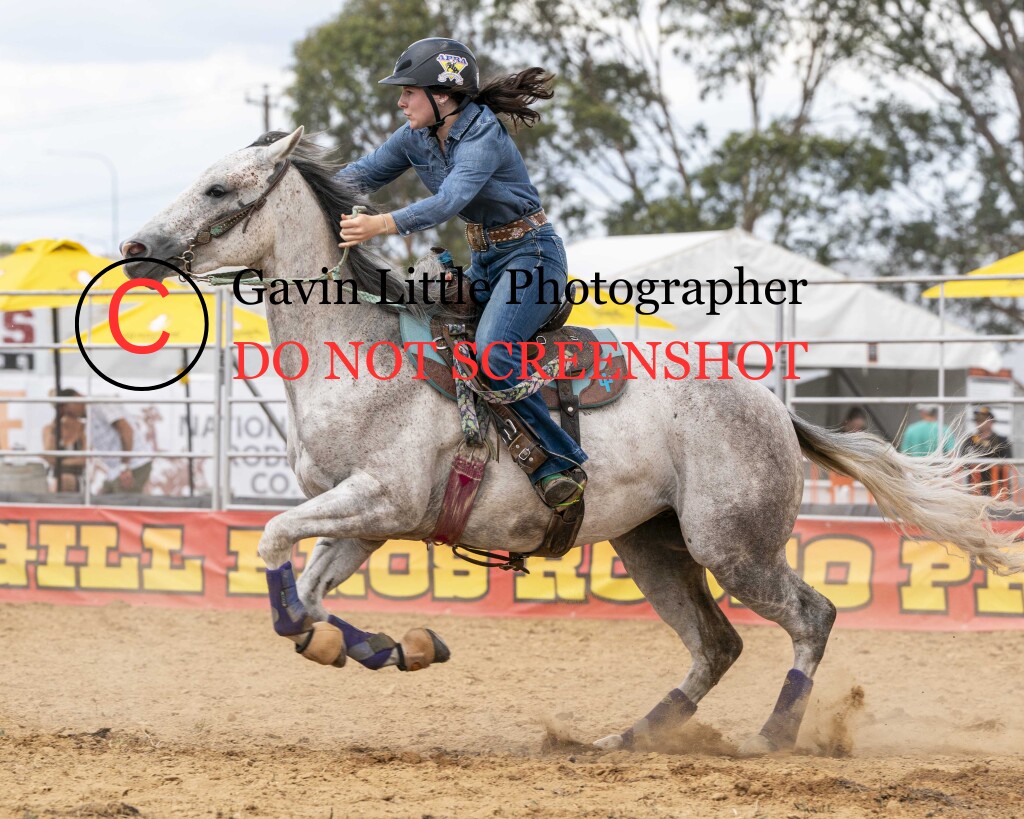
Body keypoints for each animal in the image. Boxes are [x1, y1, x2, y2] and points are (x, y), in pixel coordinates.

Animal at [121, 126, 1024, 755]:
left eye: (217, 187)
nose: (136, 247)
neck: (363, 354)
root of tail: (770, 404)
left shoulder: (378, 498)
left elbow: (274, 543)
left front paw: (367, 642)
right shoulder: (369, 520)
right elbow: (306, 599)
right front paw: (395, 647)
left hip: (732, 544)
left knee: (811, 615)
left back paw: (773, 736)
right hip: (655, 546)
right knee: (717, 643)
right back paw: (630, 737)